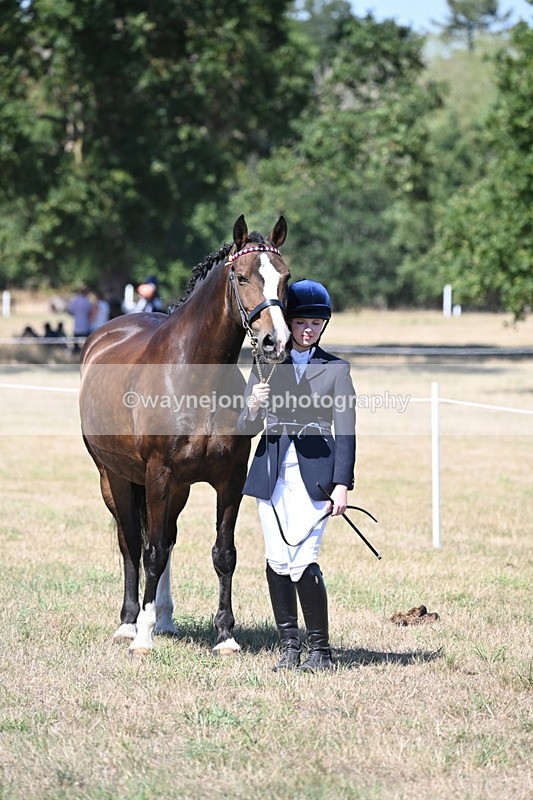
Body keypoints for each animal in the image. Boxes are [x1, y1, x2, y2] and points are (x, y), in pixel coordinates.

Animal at [79, 215, 291, 656]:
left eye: (286, 278)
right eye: (242, 277)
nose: (275, 342)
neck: (195, 376)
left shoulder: (229, 479)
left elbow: (223, 553)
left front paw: (225, 636)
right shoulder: (158, 474)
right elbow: (152, 552)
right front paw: (142, 637)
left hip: (176, 489)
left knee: (167, 539)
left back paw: (164, 618)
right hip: (115, 478)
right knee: (131, 543)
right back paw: (129, 622)